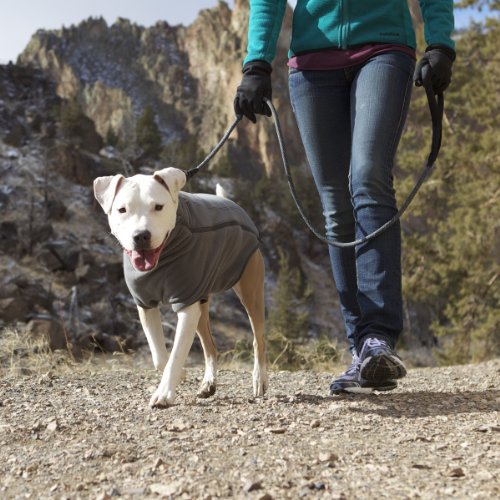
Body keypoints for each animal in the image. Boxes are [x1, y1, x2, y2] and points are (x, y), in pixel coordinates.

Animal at [93, 167, 268, 407]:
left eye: (158, 206)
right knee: (210, 346)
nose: (141, 236)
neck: (164, 256)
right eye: (122, 210)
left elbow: (176, 353)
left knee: (258, 338)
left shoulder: (186, 305)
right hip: (201, 301)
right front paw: (180, 374)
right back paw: (208, 384)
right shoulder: (145, 304)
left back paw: (259, 380)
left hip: (250, 290)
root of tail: (230, 202)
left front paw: (164, 394)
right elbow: (158, 356)